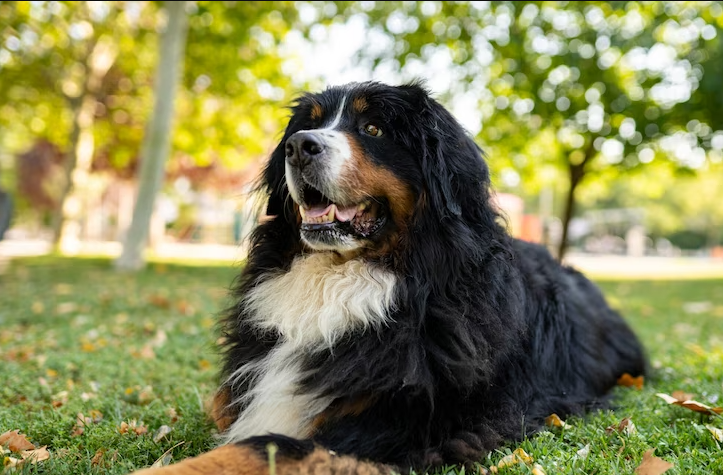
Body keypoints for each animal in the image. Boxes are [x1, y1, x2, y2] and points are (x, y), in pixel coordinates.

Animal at [134, 81, 644, 472]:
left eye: (374, 128)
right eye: (305, 127)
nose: (300, 147)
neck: (346, 276)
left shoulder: (395, 425)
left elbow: (261, 445)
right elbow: (226, 406)